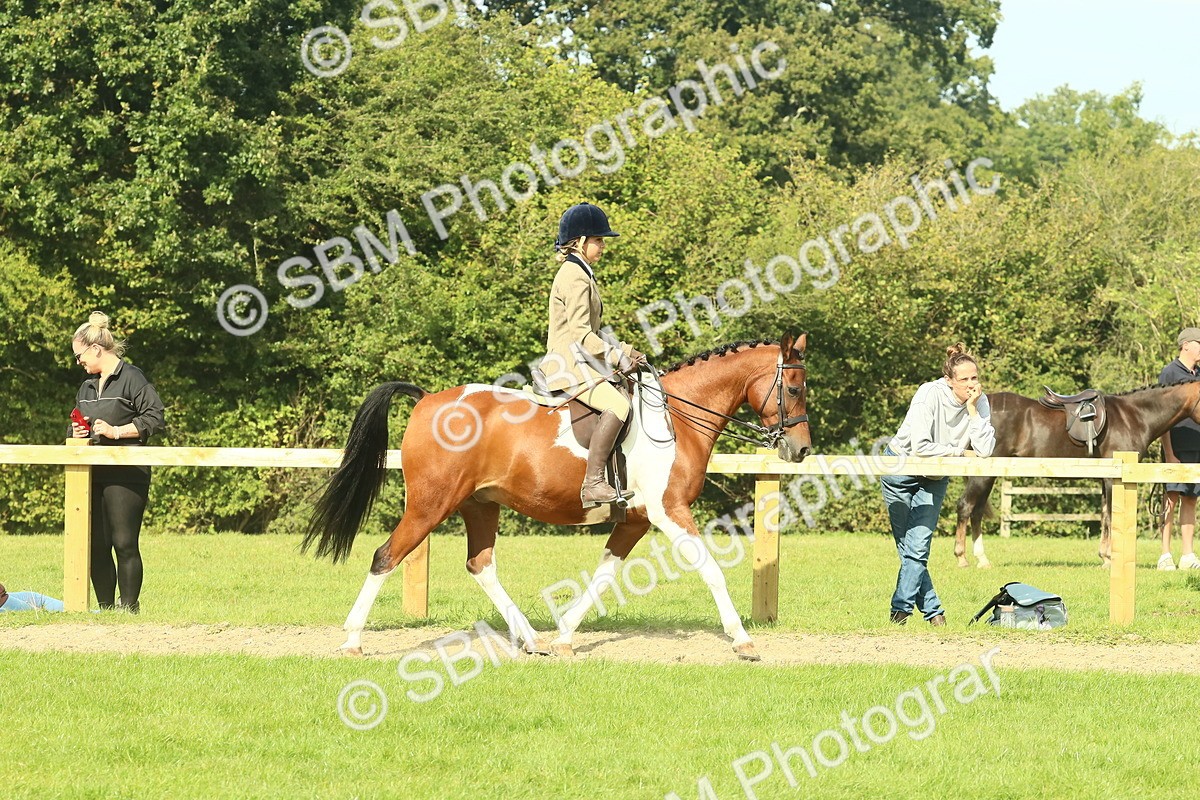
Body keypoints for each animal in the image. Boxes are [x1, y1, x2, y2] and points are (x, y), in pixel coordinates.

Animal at [303, 334, 812, 661]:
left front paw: (565, 635)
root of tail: (427, 399)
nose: (800, 449)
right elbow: (710, 570)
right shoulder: (669, 511)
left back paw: (532, 639)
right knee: (385, 556)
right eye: (794, 388)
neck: (677, 417)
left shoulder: (636, 519)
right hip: (430, 505)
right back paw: (352, 640)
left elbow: (605, 574)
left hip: (480, 505)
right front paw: (742, 641)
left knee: (480, 565)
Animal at [954, 380, 1200, 569]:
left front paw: (1105, 558)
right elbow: (1112, 516)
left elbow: (1105, 516)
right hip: (983, 474)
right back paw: (962, 558)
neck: (1135, 416)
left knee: (976, 512)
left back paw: (982, 559)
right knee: (965, 506)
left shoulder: (1106, 480)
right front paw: (1111, 559)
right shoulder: (1114, 479)